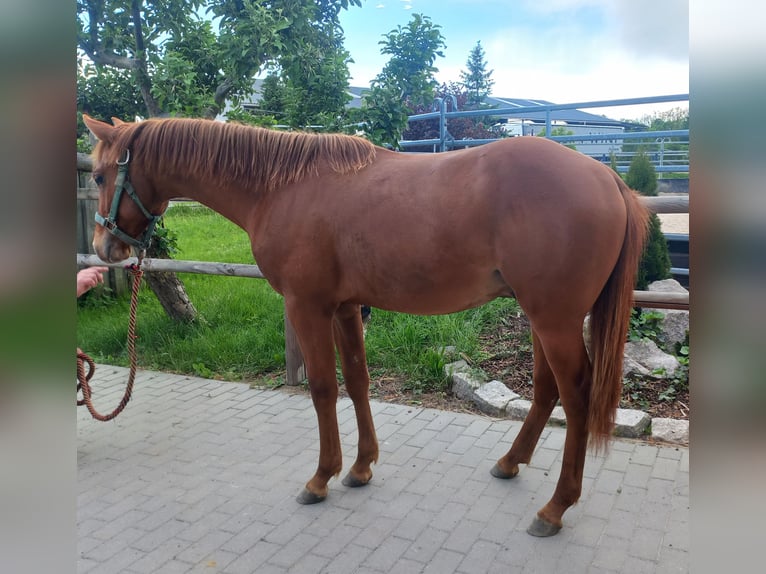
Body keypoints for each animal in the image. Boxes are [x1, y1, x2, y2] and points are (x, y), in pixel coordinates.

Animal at [82, 115, 648, 536]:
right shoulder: (345, 307)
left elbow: (322, 389)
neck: (282, 187)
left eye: (98, 175)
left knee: (576, 396)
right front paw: (360, 467)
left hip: (554, 320)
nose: (104, 249)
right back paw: (510, 463)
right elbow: (356, 380)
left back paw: (555, 508)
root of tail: (609, 179)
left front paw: (321, 477)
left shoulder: (307, 306)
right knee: (547, 390)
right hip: (540, 317)